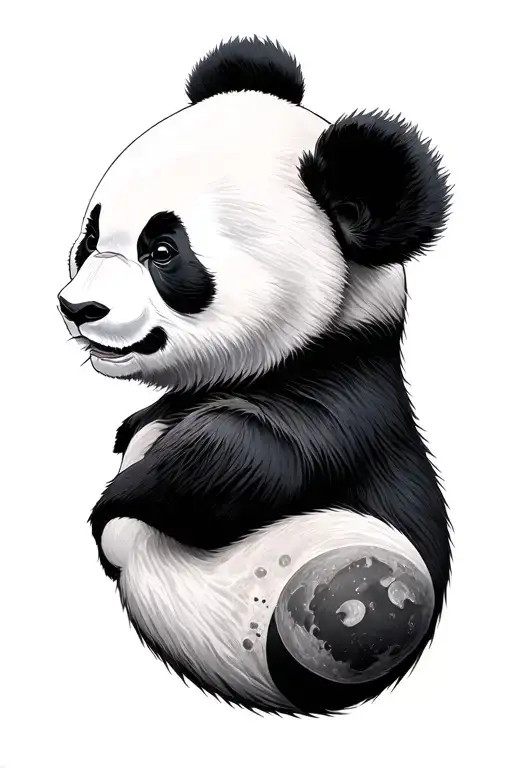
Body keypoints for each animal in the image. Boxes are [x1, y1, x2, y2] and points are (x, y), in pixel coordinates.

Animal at [58, 37, 451, 716]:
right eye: (91, 236)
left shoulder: (343, 395)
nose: (78, 308)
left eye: (164, 252)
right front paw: (132, 432)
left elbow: (251, 460)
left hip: (344, 584)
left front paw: (114, 502)